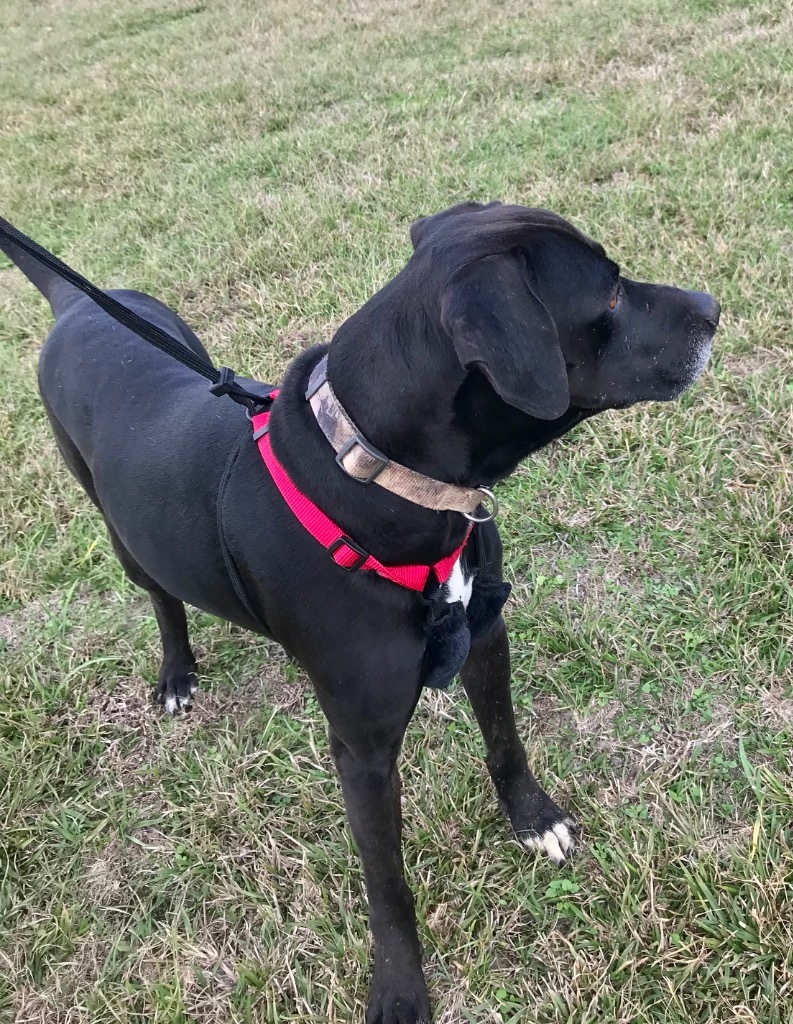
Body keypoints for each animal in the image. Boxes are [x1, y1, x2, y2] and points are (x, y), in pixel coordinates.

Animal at [0, 201, 721, 1024]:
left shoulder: (484, 633)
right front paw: (400, 987)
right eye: (608, 295)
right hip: (125, 536)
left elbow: (505, 742)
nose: (713, 309)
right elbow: (387, 883)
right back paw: (177, 672)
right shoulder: (364, 750)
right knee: (161, 597)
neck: (383, 482)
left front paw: (534, 820)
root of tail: (76, 303)